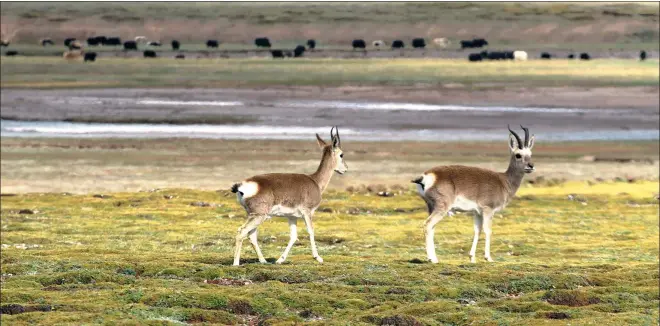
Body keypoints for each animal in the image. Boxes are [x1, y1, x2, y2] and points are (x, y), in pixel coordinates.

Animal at [229, 126, 348, 266]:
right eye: (341, 154)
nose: (345, 169)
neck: (315, 181)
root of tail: (242, 185)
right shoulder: (307, 213)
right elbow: (311, 231)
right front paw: (318, 258)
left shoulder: (292, 217)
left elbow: (293, 236)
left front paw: (280, 260)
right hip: (259, 216)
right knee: (242, 231)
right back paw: (236, 263)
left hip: (254, 216)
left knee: (251, 235)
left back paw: (263, 261)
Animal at [412, 126, 536, 264]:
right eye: (518, 155)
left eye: (530, 154)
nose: (531, 166)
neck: (504, 181)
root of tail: (426, 176)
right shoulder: (488, 209)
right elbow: (488, 231)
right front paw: (488, 258)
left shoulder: (477, 212)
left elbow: (477, 231)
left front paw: (472, 257)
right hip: (441, 208)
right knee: (428, 225)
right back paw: (432, 259)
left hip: (431, 207)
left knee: (432, 228)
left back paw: (434, 258)